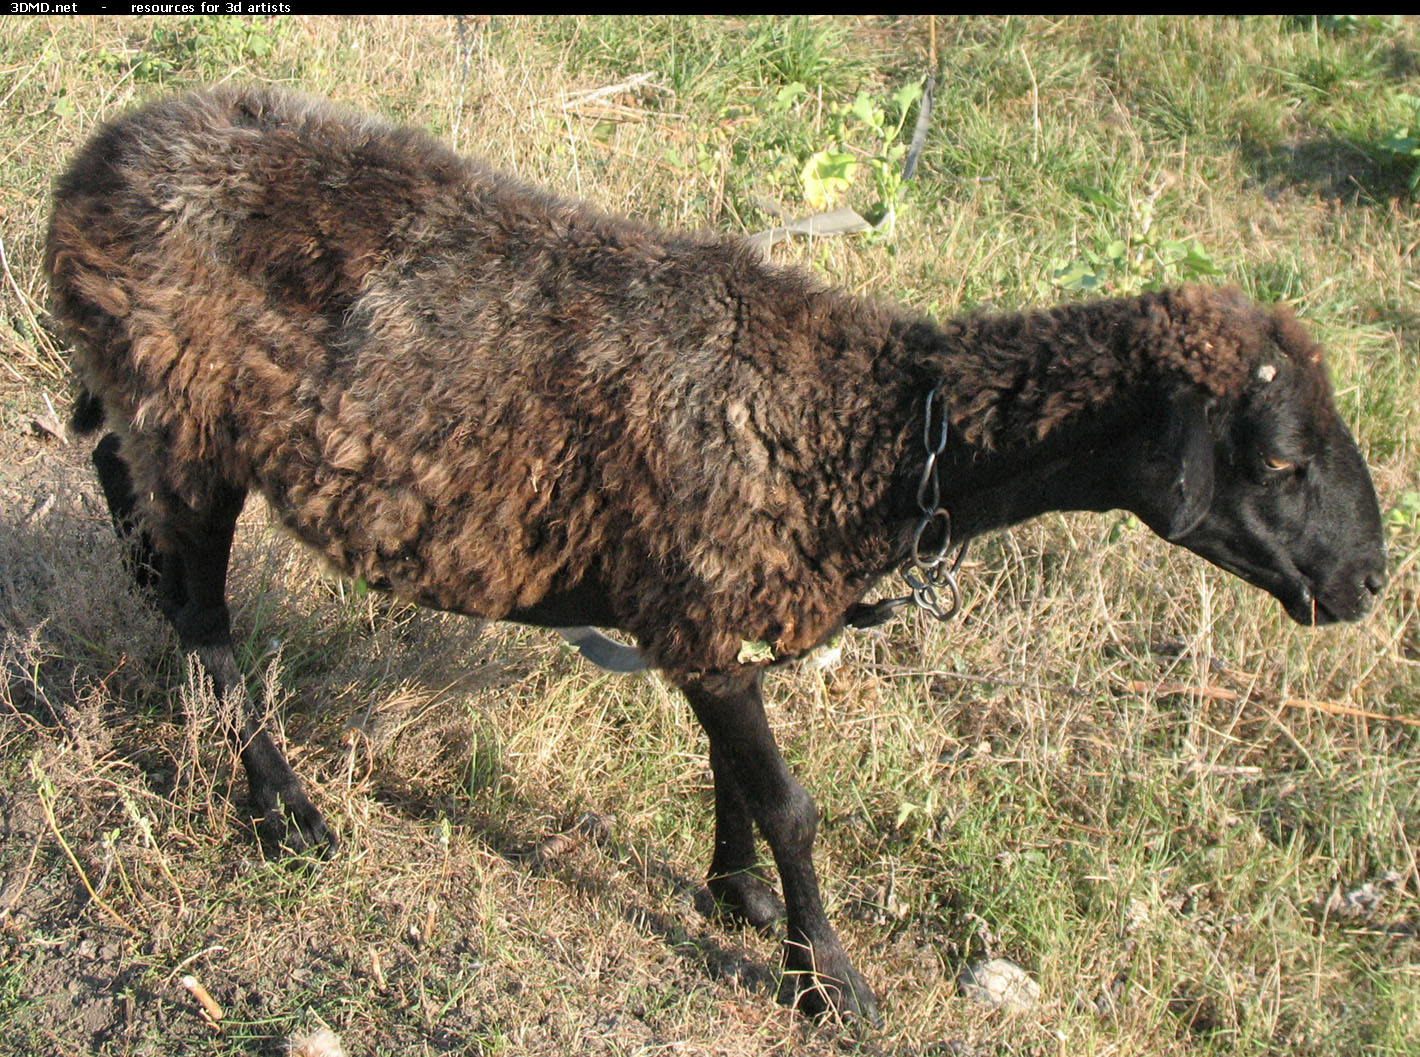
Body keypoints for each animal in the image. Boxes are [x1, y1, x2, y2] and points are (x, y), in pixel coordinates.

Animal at [44, 90, 1385, 1022]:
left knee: (122, 485)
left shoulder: (709, 621)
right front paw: (827, 978)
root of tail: (96, 163)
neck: (874, 430)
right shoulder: (697, 601)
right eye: (1278, 461)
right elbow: (789, 800)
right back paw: (283, 807)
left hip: (154, 412)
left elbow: (732, 777)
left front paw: (735, 895)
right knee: (206, 618)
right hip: (191, 418)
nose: (1367, 582)